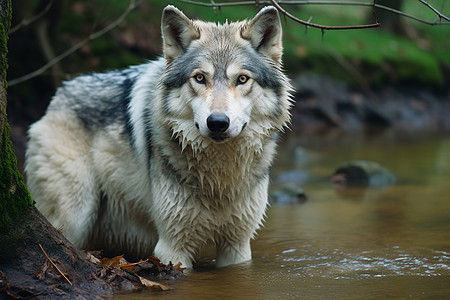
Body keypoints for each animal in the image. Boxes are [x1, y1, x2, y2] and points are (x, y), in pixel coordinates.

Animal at [24, 5, 294, 268]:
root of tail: (59, 93)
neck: (219, 179)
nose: (217, 123)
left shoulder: (237, 246)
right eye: (199, 78)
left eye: (242, 79)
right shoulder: (173, 248)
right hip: (77, 214)